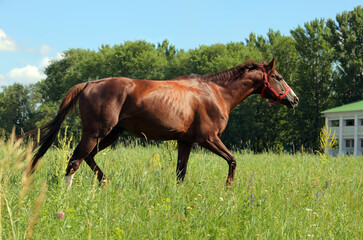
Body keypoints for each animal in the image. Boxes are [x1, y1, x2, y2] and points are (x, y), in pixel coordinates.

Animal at [27, 57, 298, 187]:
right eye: (278, 76)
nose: (294, 99)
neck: (216, 93)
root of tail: (89, 83)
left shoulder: (186, 142)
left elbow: (181, 173)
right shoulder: (208, 138)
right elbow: (232, 161)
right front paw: (228, 188)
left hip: (111, 134)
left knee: (89, 158)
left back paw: (105, 182)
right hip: (95, 133)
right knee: (74, 161)